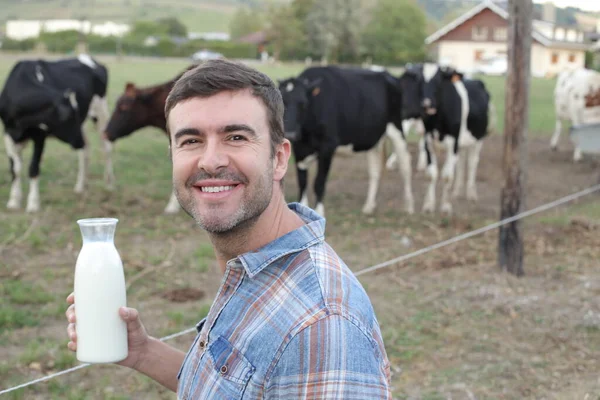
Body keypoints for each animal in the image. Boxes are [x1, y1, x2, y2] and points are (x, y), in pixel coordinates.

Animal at [0, 54, 110, 214]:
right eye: (68, 116)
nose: (78, 141)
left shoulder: (39, 135)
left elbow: (33, 168)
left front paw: (33, 204)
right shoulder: (8, 134)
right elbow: (15, 169)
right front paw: (13, 201)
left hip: (100, 112)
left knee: (106, 147)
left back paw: (109, 184)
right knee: (85, 151)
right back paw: (80, 186)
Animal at [278, 65, 414, 216]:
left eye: (303, 104)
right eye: (282, 101)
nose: (291, 133)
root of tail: (388, 75)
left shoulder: (328, 146)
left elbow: (319, 183)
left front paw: (319, 212)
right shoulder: (299, 149)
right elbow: (302, 183)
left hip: (397, 127)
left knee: (405, 164)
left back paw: (409, 206)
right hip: (374, 140)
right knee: (375, 170)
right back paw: (369, 206)